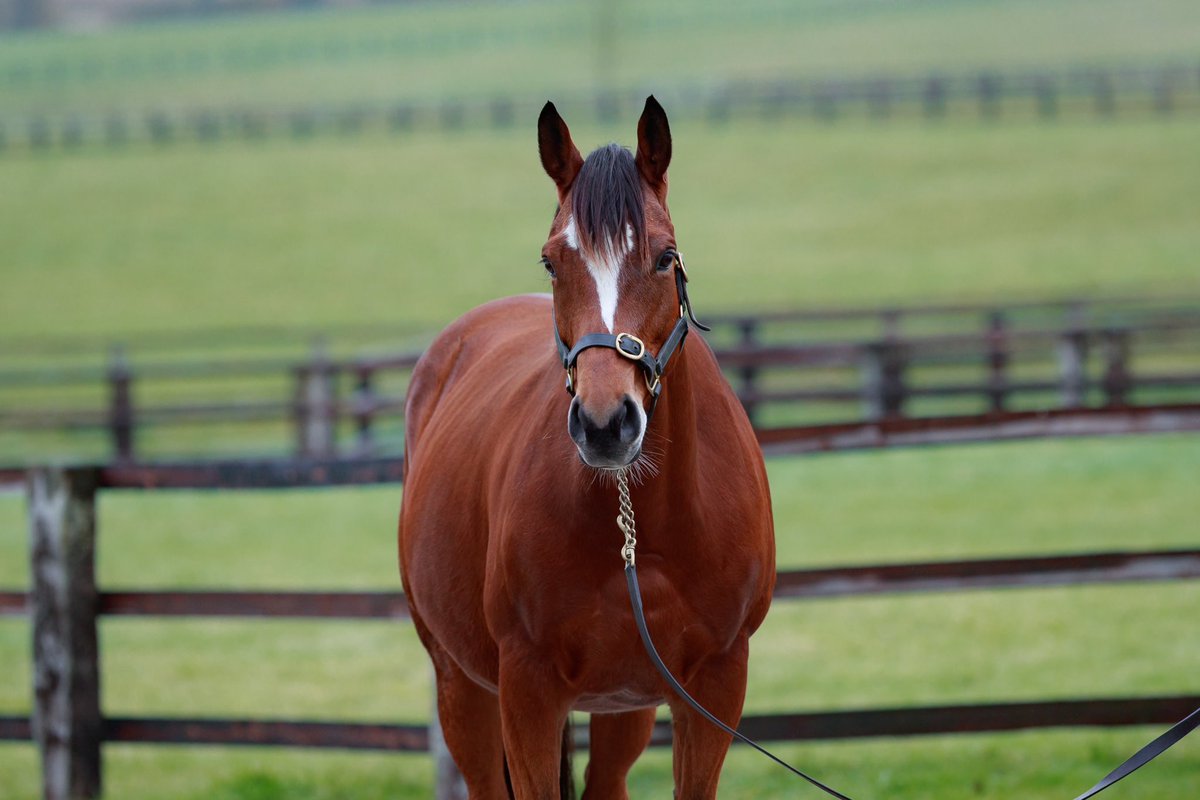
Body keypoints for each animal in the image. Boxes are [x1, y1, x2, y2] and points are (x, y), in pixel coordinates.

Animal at [399, 96, 776, 799]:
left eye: (664, 257)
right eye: (553, 262)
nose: (605, 425)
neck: (642, 523)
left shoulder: (714, 684)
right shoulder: (526, 690)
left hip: (624, 704)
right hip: (460, 682)